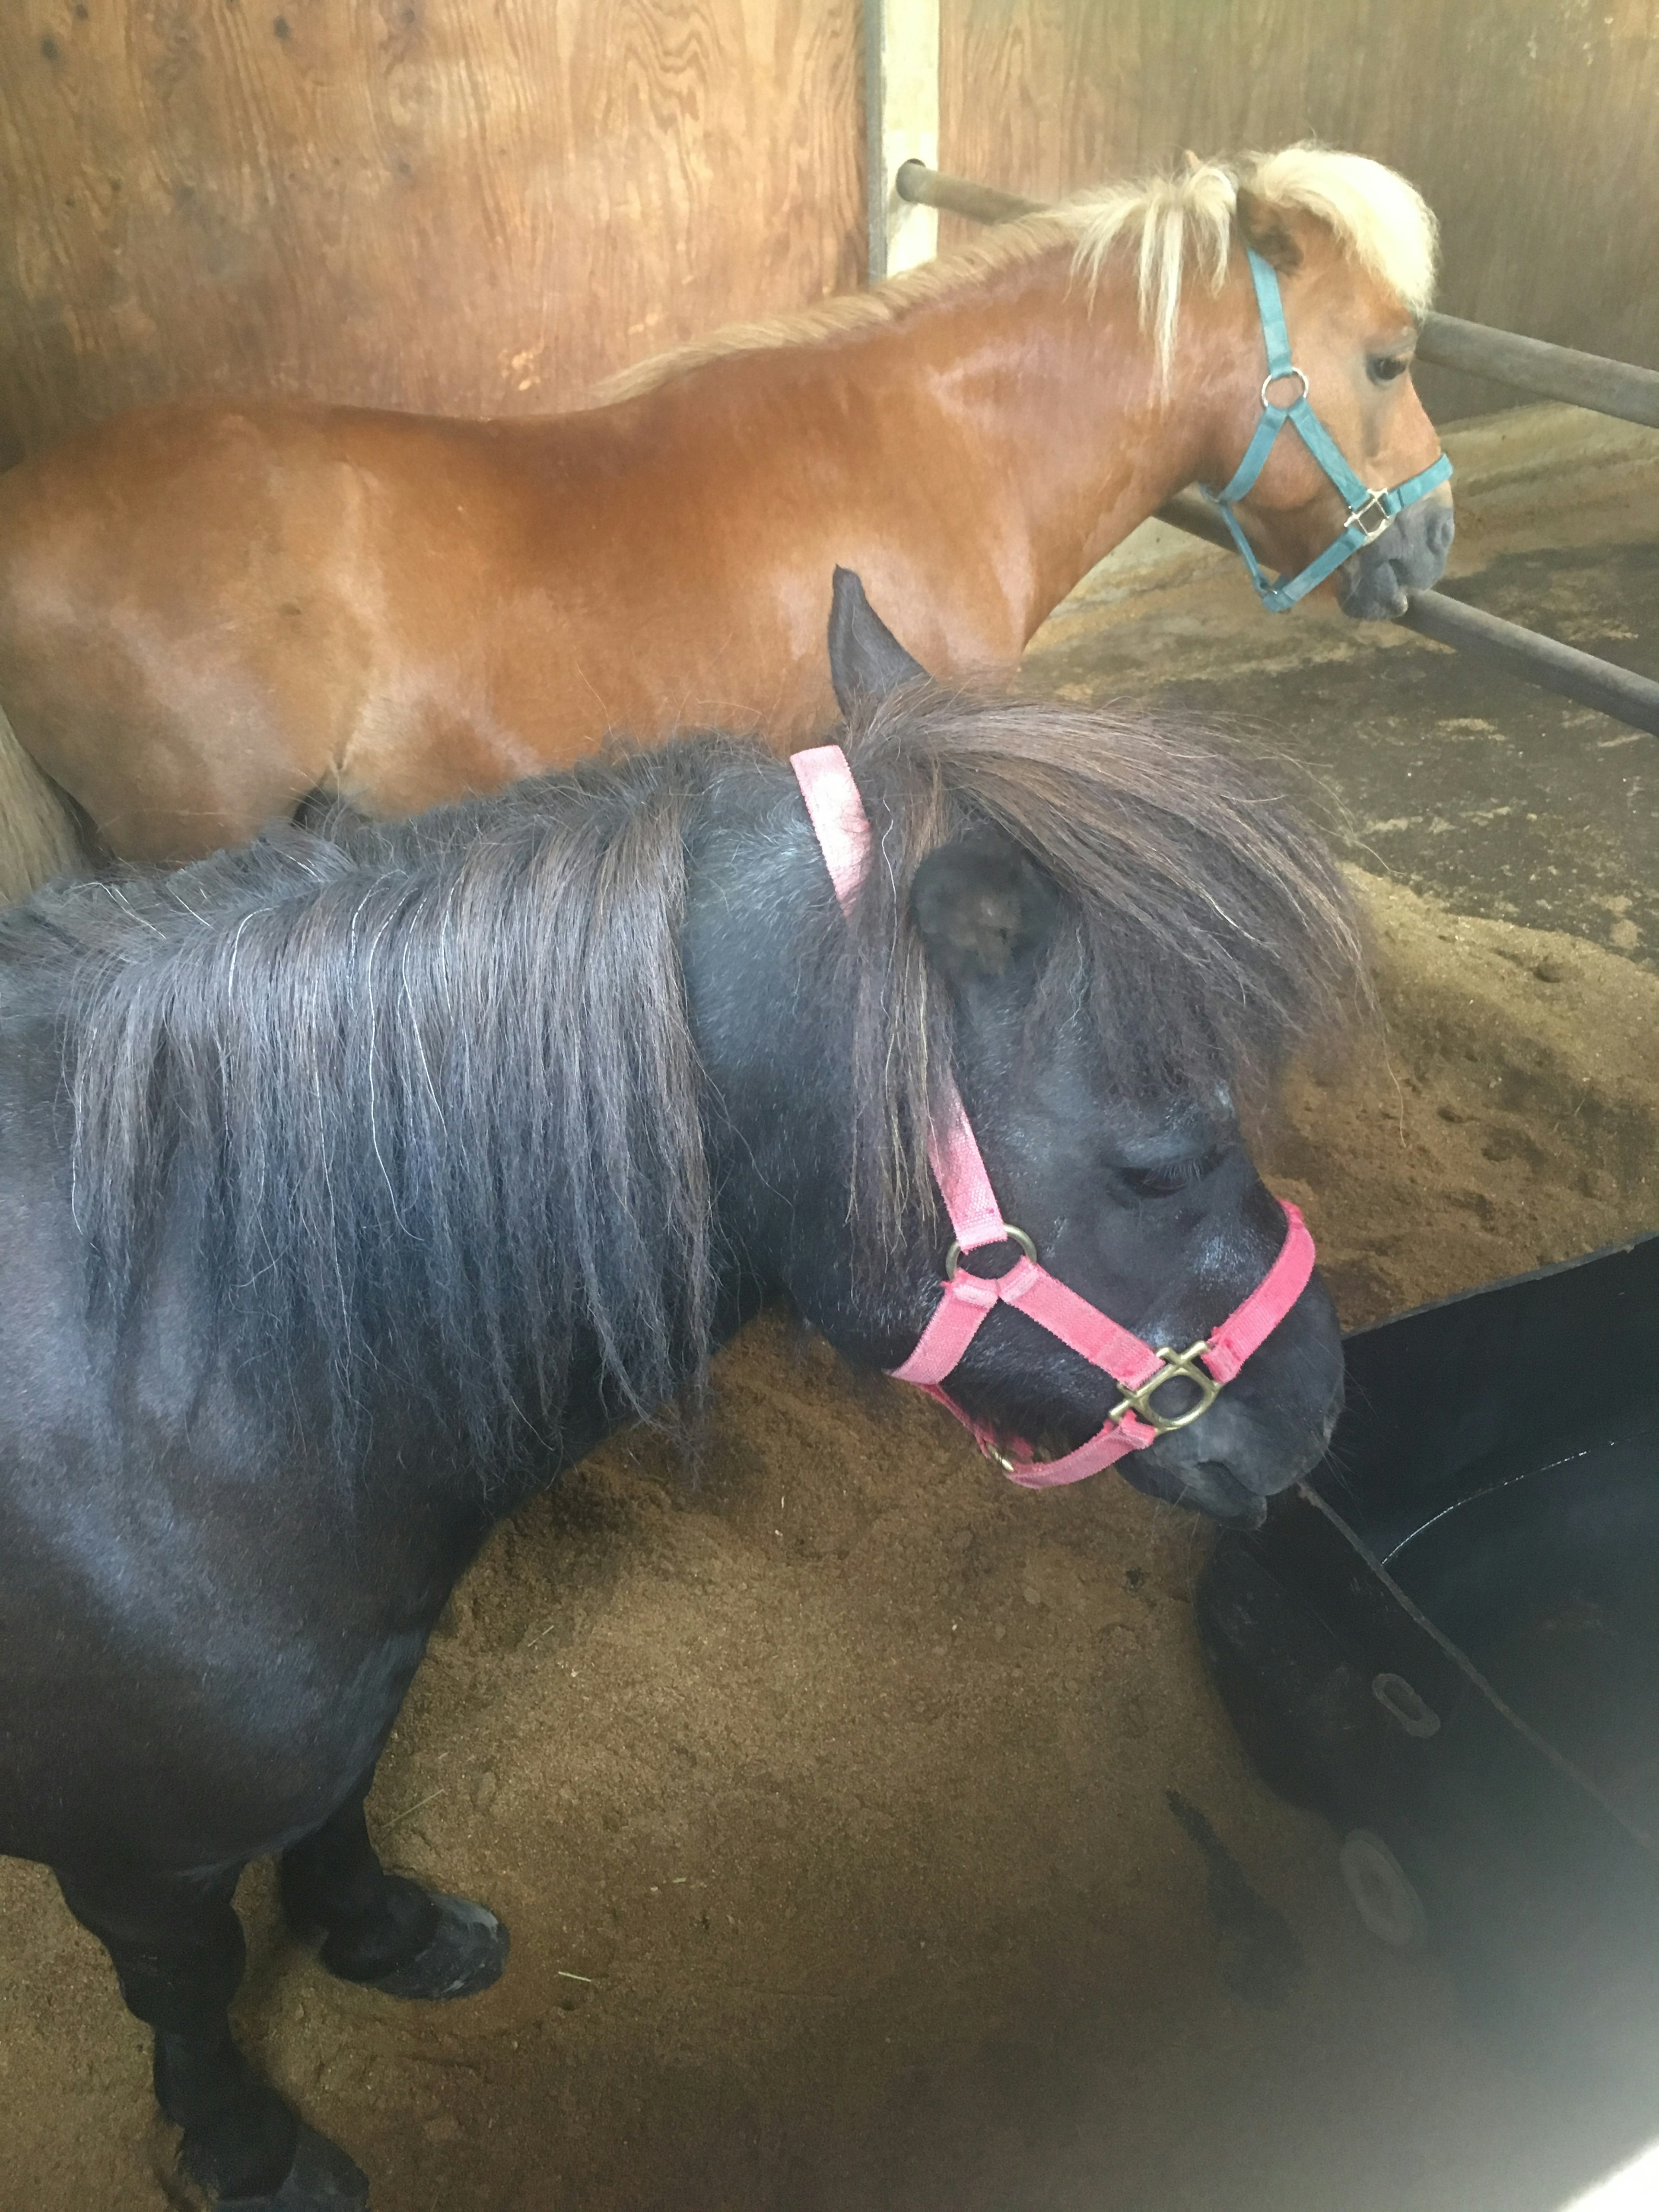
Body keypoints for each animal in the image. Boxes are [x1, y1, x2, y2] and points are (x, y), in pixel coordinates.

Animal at [0, 615, 1362, 2203]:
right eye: (1154, 1162)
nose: (1317, 1403)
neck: (178, 1338)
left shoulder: (343, 1702)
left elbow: (340, 1805)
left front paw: (385, 1935)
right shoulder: (142, 1864)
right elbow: (191, 1991)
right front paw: (246, 2147)